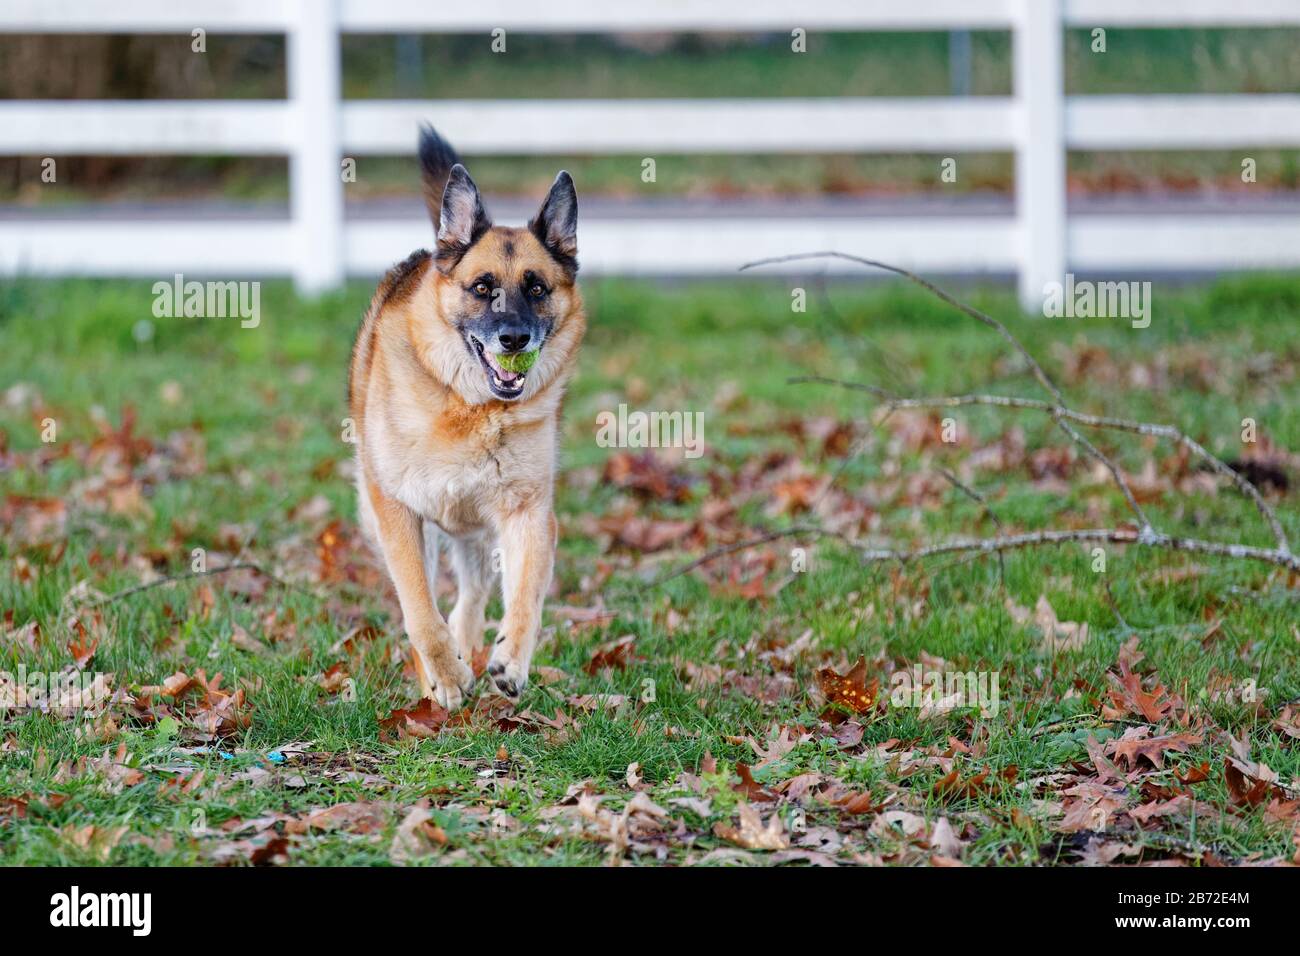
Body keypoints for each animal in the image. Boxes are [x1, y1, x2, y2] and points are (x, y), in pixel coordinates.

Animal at [351, 127, 585, 712]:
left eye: (537, 288)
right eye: (482, 288)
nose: (514, 339)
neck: (472, 408)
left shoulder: (529, 515)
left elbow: (525, 596)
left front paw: (511, 661)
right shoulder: (398, 512)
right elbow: (417, 606)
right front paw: (445, 676)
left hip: (476, 532)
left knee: (472, 596)